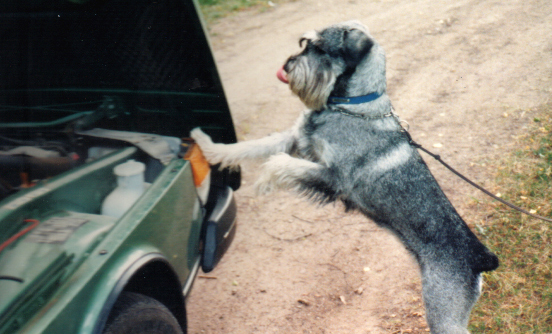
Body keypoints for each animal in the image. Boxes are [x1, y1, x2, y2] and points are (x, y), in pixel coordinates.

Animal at [191, 21, 500, 334]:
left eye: (321, 49)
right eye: (305, 43)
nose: (288, 66)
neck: (352, 107)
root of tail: (481, 259)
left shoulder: (333, 177)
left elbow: (280, 163)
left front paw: (264, 181)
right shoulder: (297, 140)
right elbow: (251, 147)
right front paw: (206, 145)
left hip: (443, 313)